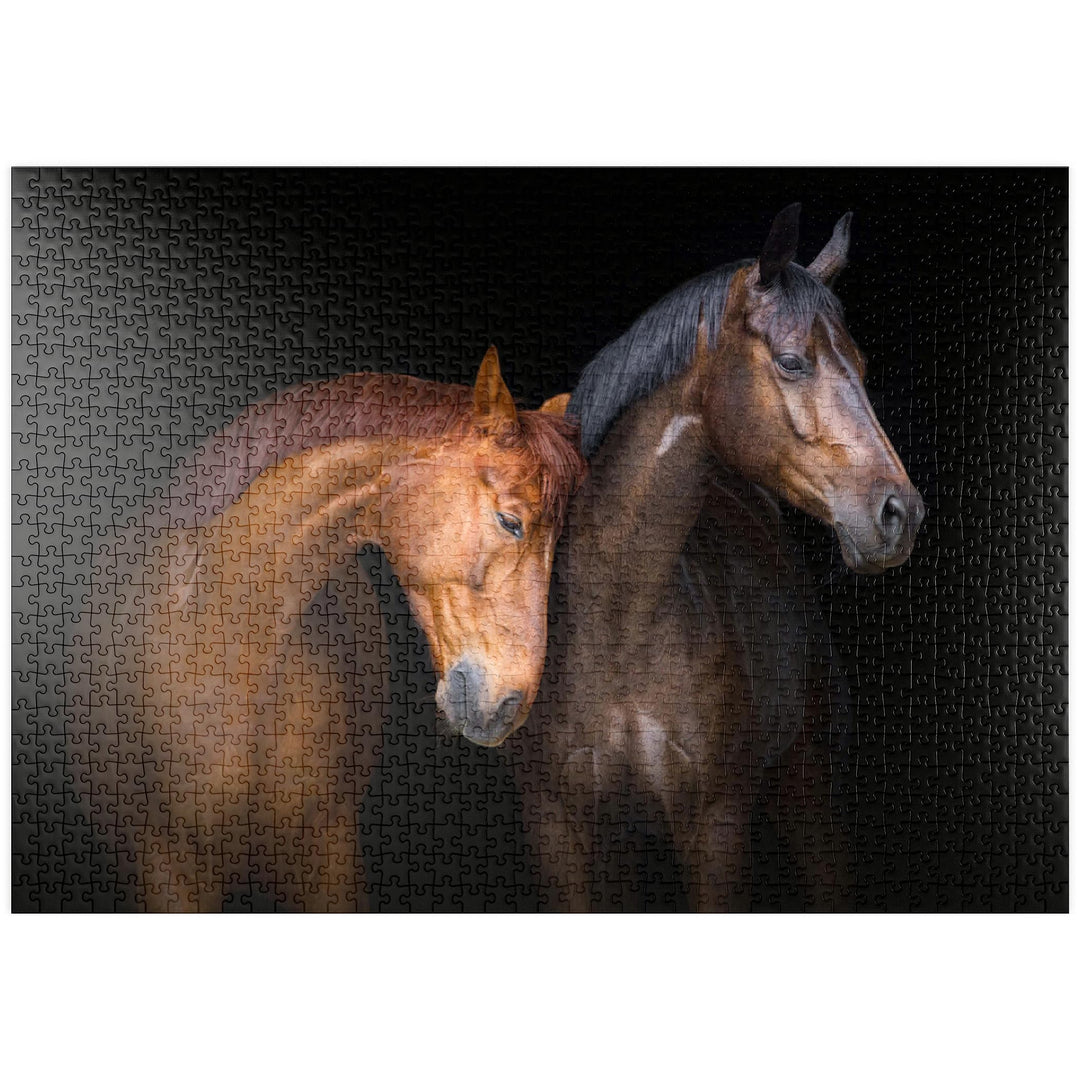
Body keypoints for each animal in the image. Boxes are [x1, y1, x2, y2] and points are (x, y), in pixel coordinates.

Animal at [507, 205, 926, 911]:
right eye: (792, 362)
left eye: (863, 368)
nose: (901, 515)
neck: (619, 620)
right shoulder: (557, 826)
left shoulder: (716, 826)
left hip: (808, 796)